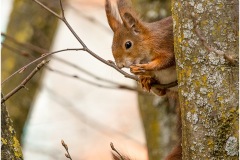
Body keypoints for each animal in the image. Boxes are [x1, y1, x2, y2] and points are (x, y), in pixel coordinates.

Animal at [106, 0, 181, 159]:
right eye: (112, 46)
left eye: (128, 44)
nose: (120, 65)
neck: (148, 40)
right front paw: (145, 77)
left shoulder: (164, 45)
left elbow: (166, 60)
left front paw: (146, 67)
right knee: (162, 92)